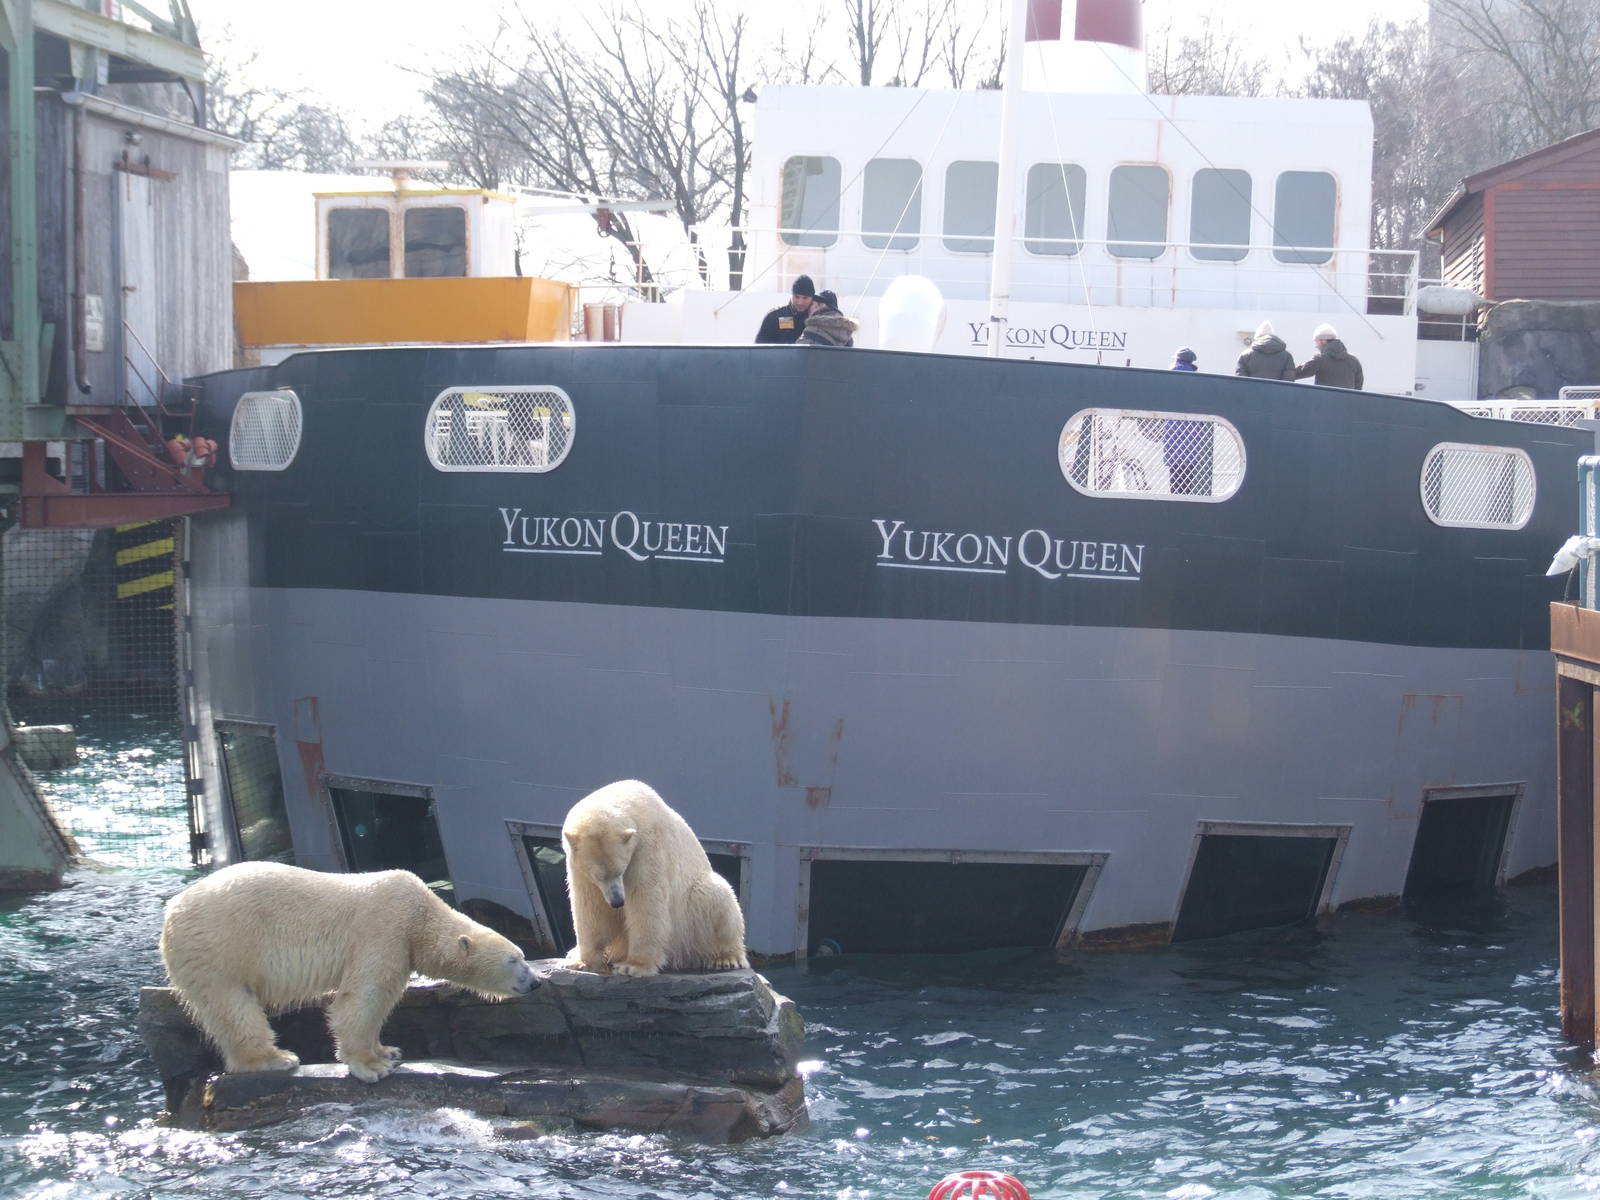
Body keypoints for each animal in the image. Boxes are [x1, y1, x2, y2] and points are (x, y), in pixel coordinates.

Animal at [159, 862, 538, 1082]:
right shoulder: (384, 928)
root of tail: (171, 913)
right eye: (514, 959)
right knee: (234, 1006)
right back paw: (275, 1058)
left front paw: (388, 1051)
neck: (421, 915)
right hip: (220, 948)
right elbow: (363, 996)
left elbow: (383, 998)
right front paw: (371, 1066)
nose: (535, 982)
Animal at [561, 779, 749, 977]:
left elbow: (645, 899)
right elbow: (590, 906)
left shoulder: (647, 846)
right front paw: (581, 963)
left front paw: (633, 966)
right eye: (597, 876)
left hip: (691, 915)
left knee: (716, 895)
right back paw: (572, 952)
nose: (617, 902)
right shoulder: (577, 867)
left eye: (621, 870)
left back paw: (727, 959)